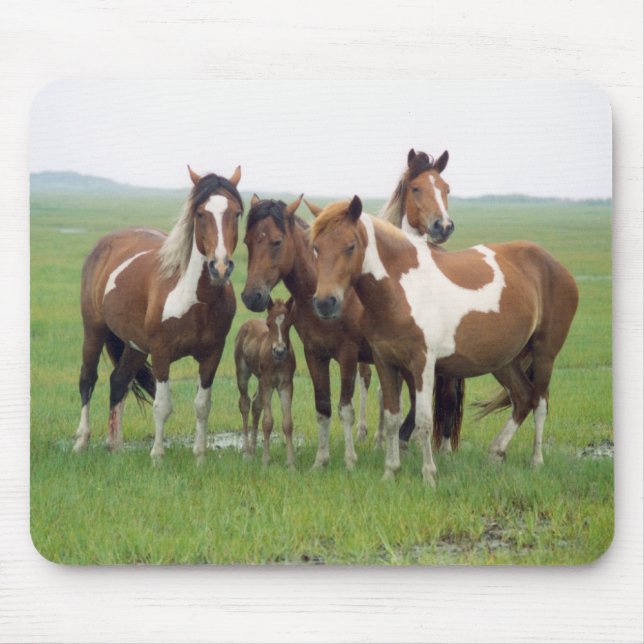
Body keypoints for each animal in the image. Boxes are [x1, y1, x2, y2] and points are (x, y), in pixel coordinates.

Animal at [73, 164, 244, 463]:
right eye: (201, 213)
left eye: (236, 213)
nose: (220, 267)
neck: (195, 300)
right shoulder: (162, 352)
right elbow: (162, 405)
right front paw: (157, 457)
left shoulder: (212, 354)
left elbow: (202, 405)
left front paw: (200, 457)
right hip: (94, 329)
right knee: (88, 379)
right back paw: (81, 442)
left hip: (135, 346)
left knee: (118, 382)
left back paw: (115, 447)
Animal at [234, 299, 296, 466]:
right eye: (268, 324)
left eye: (289, 323)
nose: (279, 351)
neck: (277, 361)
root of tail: (247, 323)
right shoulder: (267, 383)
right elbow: (267, 422)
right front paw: (266, 461)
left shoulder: (286, 384)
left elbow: (287, 423)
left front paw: (290, 463)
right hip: (243, 372)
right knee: (245, 403)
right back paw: (246, 452)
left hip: (260, 380)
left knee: (256, 404)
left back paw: (254, 449)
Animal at [310, 196, 578, 486]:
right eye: (316, 247)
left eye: (350, 246)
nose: (325, 302)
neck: (401, 290)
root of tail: (556, 266)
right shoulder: (385, 362)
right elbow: (392, 418)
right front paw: (390, 471)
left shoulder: (423, 364)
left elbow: (424, 420)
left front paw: (429, 475)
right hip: (504, 361)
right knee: (523, 398)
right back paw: (495, 452)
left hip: (544, 354)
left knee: (540, 403)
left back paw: (536, 461)